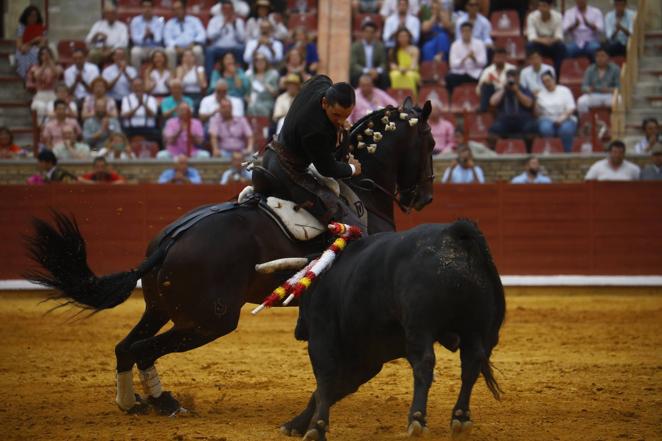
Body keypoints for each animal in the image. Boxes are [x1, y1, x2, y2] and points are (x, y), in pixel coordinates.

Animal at [24, 99, 436, 416]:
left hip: (162, 308)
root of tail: (168, 243)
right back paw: (163, 402)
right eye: (431, 143)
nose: (424, 198)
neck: (363, 194)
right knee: (141, 349)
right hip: (212, 320)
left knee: (125, 347)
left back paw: (136, 403)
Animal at [282, 222, 506, 438]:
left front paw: (315, 428)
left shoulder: (322, 337)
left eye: (302, 297)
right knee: (471, 365)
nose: (298, 330)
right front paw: (295, 425)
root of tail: (454, 234)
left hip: (420, 327)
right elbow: (334, 388)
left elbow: (325, 382)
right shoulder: (367, 359)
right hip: (474, 329)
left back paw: (417, 419)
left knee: (424, 363)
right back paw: (460, 417)